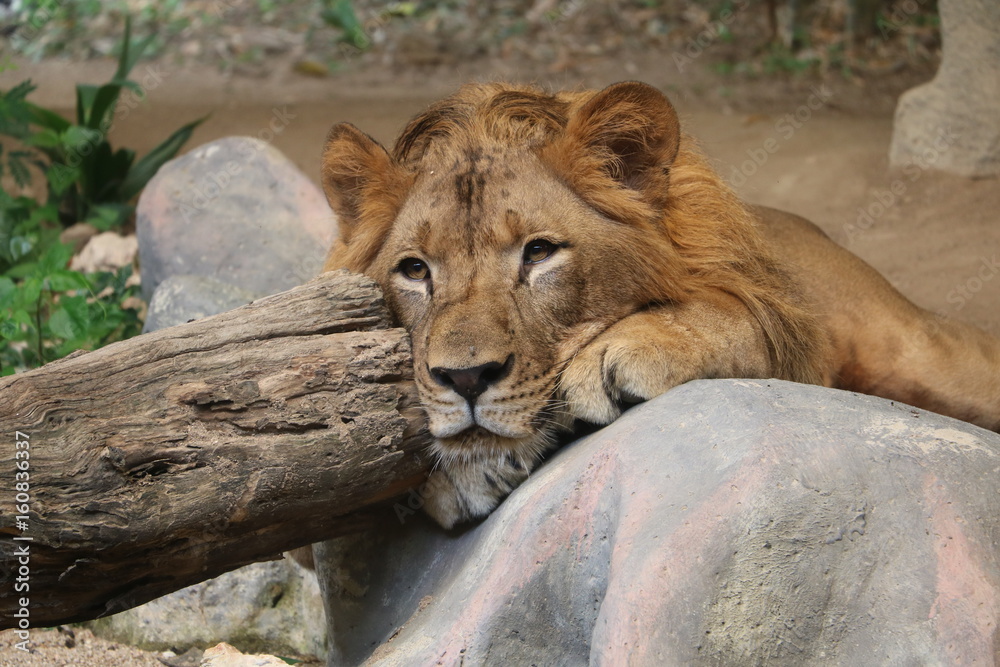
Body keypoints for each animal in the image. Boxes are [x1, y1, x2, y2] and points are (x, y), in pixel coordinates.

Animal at [320, 81, 1000, 529]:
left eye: (539, 253)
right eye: (415, 270)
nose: (465, 378)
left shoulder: (786, 328)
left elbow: (721, 316)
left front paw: (621, 352)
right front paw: (459, 471)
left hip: (922, 351)